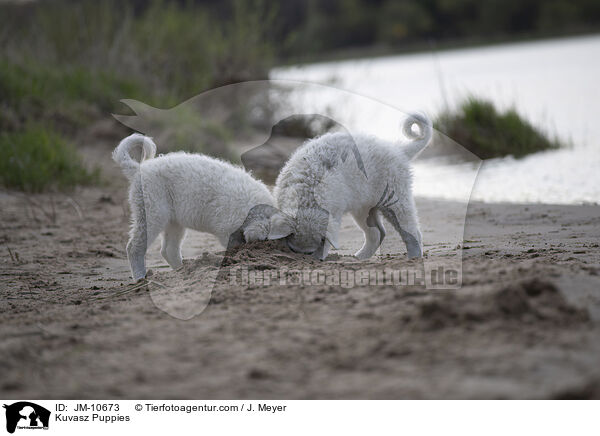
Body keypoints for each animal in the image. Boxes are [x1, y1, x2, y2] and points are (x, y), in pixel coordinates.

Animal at [112, 133, 274, 282]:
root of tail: (139, 168)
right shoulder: (228, 230)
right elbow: (234, 246)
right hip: (152, 211)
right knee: (134, 247)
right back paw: (140, 278)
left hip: (174, 220)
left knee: (169, 250)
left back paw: (182, 271)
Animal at [270, 114, 432, 260]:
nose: (308, 259)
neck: (307, 194)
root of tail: (399, 150)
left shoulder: (334, 210)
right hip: (363, 206)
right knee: (377, 233)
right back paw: (360, 257)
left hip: (396, 198)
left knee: (411, 231)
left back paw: (414, 257)